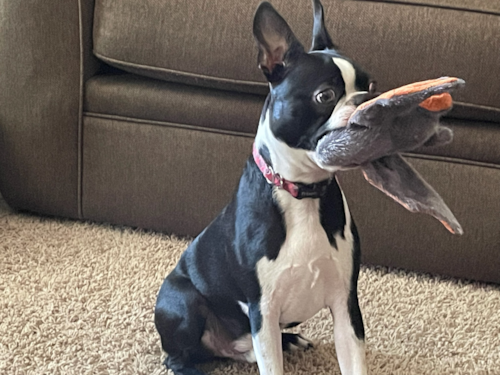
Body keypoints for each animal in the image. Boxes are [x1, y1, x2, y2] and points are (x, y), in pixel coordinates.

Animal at [154, 1, 384, 374]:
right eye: (325, 95)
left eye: (372, 84)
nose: (370, 100)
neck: (302, 191)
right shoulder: (263, 308)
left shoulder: (346, 304)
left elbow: (353, 362)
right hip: (183, 301)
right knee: (178, 355)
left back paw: (289, 341)